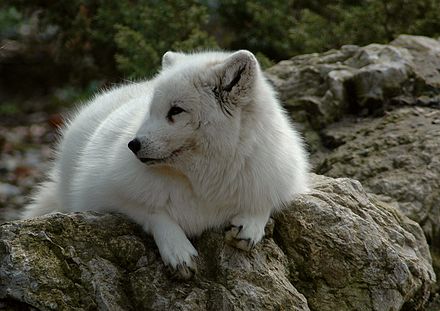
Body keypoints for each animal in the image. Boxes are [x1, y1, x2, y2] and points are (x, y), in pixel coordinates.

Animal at [21, 50, 310, 280]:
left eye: (176, 111)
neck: (204, 179)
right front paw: (177, 249)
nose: (132, 144)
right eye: (151, 110)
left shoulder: (276, 172)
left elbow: (266, 197)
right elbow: (152, 211)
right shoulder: (106, 194)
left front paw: (249, 226)